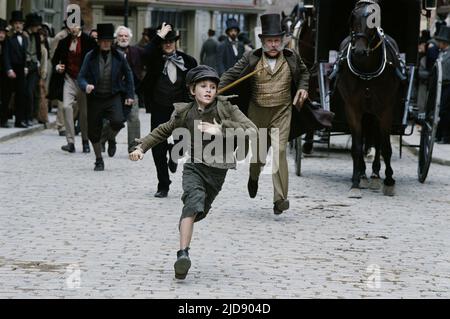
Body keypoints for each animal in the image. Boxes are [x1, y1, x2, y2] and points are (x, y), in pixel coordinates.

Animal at [336, 0, 402, 199]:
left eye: (374, 20)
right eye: (353, 17)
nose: (359, 51)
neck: (366, 70)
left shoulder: (386, 110)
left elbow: (386, 146)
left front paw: (389, 181)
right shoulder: (353, 109)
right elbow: (357, 146)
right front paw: (355, 182)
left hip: (375, 112)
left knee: (378, 142)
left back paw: (375, 175)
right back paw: (363, 175)